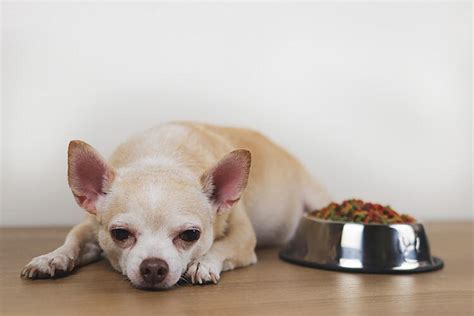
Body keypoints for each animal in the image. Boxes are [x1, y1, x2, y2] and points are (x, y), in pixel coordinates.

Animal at [19, 122, 330, 290]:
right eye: (120, 234)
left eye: (191, 235)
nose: (153, 267)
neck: (162, 156)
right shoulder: (91, 225)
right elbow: (72, 238)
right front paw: (52, 258)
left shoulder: (244, 239)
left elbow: (222, 246)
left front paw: (203, 263)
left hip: (316, 197)